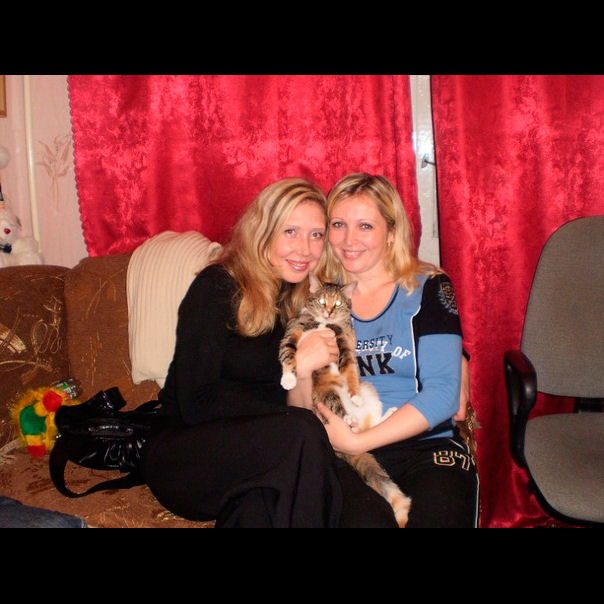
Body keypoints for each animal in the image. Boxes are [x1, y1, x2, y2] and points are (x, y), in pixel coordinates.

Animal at [279, 274, 411, 528]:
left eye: (338, 303)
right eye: (322, 301)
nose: (329, 311)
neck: (324, 324)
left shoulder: (345, 338)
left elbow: (349, 367)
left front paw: (354, 394)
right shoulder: (295, 329)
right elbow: (288, 351)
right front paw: (288, 378)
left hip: (369, 391)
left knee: (366, 428)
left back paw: (370, 413)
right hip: (326, 395)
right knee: (348, 419)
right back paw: (350, 419)